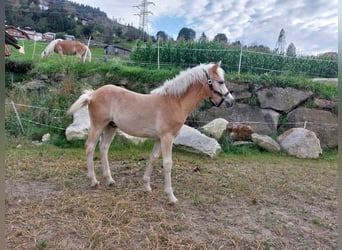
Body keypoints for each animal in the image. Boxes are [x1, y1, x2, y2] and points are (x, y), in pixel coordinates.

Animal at [68, 61, 236, 204]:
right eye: (220, 82)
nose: (231, 101)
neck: (175, 102)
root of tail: (93, 94)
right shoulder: (167, 138)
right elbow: (167, 164)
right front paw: (171, 197)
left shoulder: (159, 139)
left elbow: (153, 158)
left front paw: (146, 186)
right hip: (98, 125)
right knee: (90, 147)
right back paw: (93, 181)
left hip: (111, 127)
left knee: (103, 148)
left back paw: (109, 180)